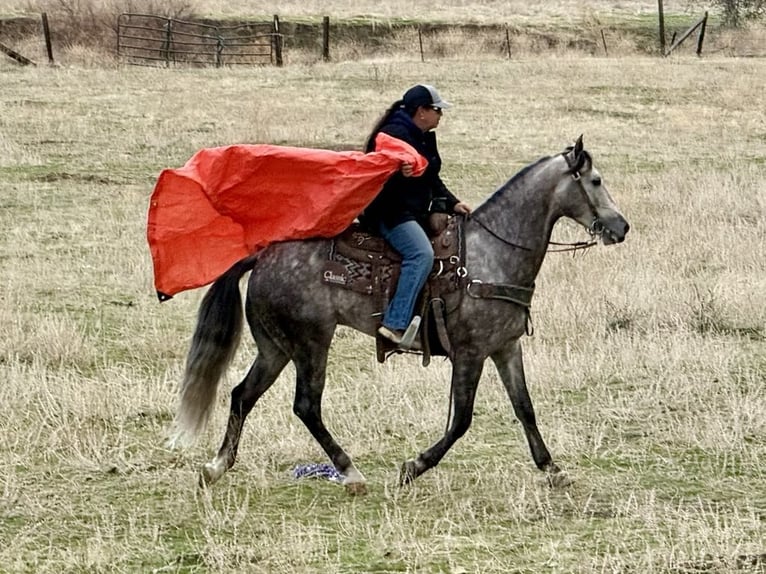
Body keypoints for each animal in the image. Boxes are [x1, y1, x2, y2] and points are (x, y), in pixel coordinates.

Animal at [172, 136, 632, 496]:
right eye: (595, 181)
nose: (622, 227)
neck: (492, 255)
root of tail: (262, 256)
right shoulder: (470, 354)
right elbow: (461, 420)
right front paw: (413, 467)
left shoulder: (505, 348)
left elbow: (525, 408)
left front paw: (553, 470)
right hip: (311, 343)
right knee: (306, 406)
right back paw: (351, 472)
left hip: (275, 348)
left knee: (242, 395)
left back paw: (215, 468)